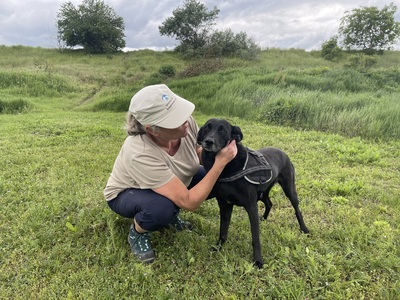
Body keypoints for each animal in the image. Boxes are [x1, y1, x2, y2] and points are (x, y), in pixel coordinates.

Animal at [198, 118, 310, 268]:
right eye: (207, 128)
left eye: (223, 131)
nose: (208, 142)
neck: (227, 167)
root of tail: (282, 152)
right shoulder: (225, 205)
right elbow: (223, 229)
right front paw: (219, 247)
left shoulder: (251, 206)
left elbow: (255, 237)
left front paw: (258, 261)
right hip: (262, 192)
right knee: (269, 202)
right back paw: (264, 218)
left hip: (289, 190)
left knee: (297, 209)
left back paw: (304, 229)